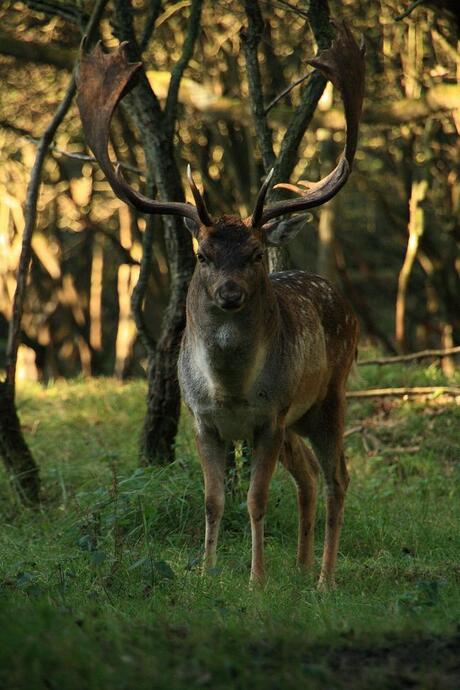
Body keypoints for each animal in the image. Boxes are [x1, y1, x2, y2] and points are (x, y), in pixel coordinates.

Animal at [78, 21, 366, 584]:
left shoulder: (269, 416)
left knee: (338, 476)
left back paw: (324, 578)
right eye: (203, 254)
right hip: (298, 419)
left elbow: (255, 501)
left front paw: (255, 580)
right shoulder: (202, 419)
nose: (229, 293)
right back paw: (301, 569)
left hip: (328, 397)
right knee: (308, 475)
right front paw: (207, 573)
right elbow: (212, 500)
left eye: (254, 253)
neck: (231, 391)